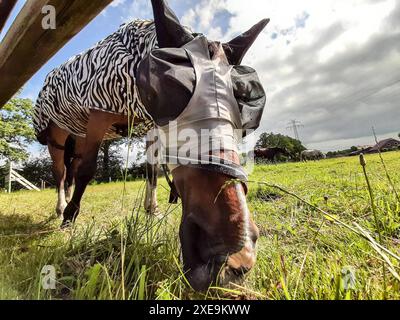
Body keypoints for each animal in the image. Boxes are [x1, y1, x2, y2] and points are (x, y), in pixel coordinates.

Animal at [33, 0, 268, 290]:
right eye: (170, 87)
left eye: (247, 103)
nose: (233, 255)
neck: (134, 65)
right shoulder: (98, 116)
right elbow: (88, 171)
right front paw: (69, 217)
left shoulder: (149, 126)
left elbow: (152, 171)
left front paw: (151, 210)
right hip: (58, 135)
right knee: (62, 172)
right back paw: (61, 208)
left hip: (78, 136)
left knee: (72, 170)